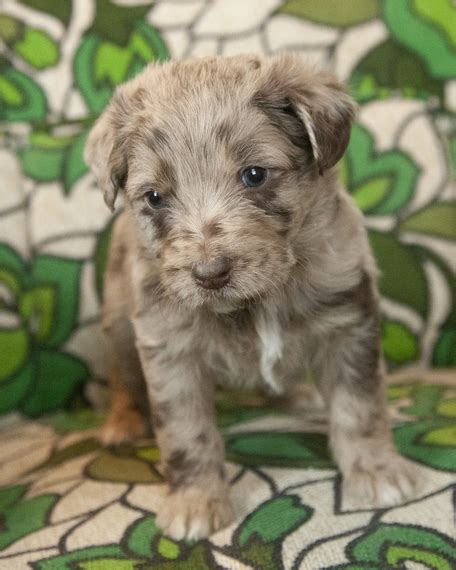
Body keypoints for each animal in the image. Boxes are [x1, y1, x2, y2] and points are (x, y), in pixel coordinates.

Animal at [83, 52, 418, 536]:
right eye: (155, 197)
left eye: (254, 175)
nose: (209, 274)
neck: (259, 299)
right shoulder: (171, 348)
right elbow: (185, 432)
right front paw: (195, 500)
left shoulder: (349, 320)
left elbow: (360, 406)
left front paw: (375, 470)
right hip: (119, 322)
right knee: (123, 377)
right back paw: (122, 422)